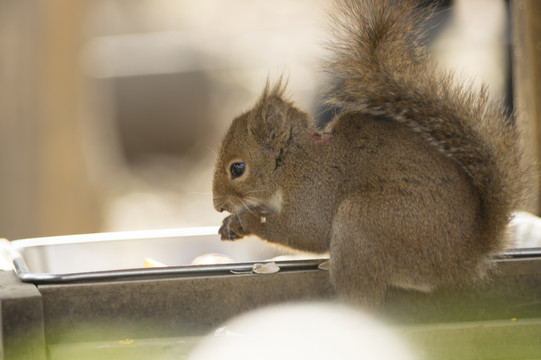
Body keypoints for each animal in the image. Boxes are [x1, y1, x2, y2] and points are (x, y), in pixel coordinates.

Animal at [211, 0, 532, 310]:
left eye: (237, 168)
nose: (218, 206)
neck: (292, 162)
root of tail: (470, 254)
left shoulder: (314, 189)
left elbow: (305, 230)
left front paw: (245, 221)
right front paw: (230, 225)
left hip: (363, 223)